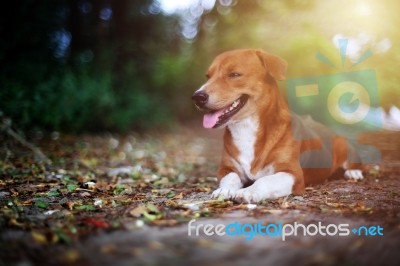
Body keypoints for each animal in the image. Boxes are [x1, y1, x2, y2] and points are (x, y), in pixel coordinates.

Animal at [192, 48, 364, 203]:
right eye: (208, 76)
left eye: (234, 74)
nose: (197, 97)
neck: (247, 128)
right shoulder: (226, 168)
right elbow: (230, 177)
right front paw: (224, 189)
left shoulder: (293, 174)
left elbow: (265, 180)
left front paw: (248, 192)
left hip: (344, 146)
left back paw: (353, 172)